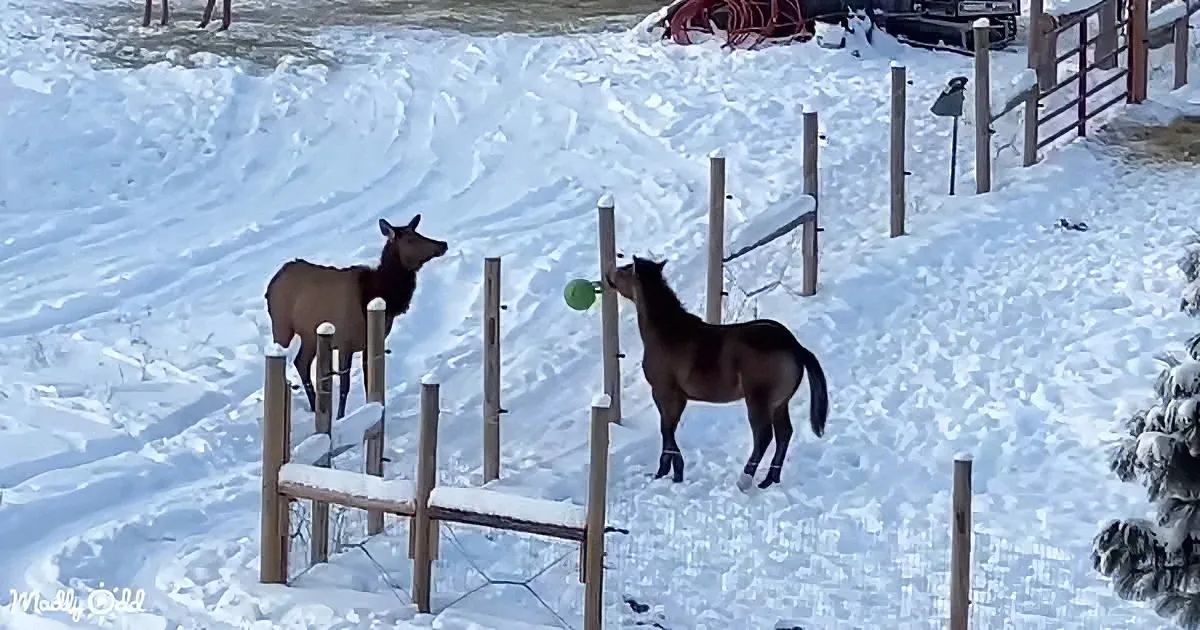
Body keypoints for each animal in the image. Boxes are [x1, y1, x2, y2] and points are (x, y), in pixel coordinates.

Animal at [605, 256, 829, 490]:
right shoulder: (677, 398)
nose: (609, 273)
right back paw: (769, 479)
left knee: (763, 436)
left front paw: (668, 472)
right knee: (784, 434)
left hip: (758, 400)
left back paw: (744, 480)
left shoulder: (665, 393)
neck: (668, 333)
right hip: (779, 404)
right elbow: (669, 430)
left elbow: (666, 430)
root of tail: (794, 345)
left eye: (626, 269)